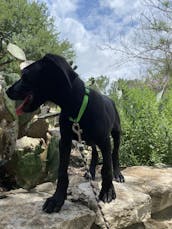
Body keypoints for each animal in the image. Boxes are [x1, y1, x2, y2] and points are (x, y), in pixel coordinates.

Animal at [5, 53, 123, 213]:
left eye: (25, 76)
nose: (7, 91)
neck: (76, 108)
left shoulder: (104, 140)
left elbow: (106, 168)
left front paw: (107, 191)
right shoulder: (65, 142)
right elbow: (62, 173)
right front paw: (57, 199)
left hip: (115, 133)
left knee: (114, 154)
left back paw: (118, 174)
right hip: (89, 140)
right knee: (94, 153)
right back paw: (91, 172)